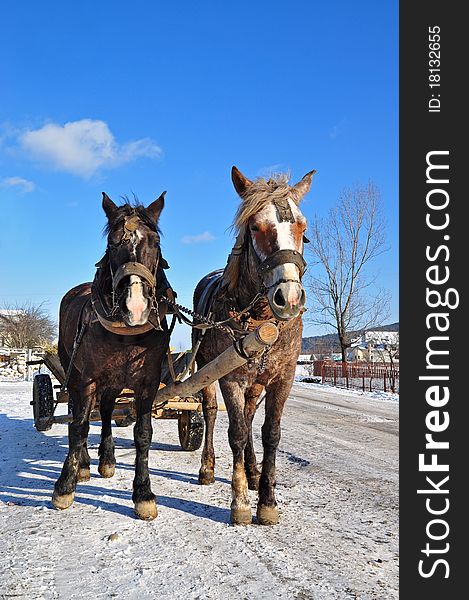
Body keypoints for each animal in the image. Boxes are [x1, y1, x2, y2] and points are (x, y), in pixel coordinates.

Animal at [53, 192, 170, 520]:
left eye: (155, 241)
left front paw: (143, 493)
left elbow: (143, 433)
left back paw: (106, 458)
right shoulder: (88, 379)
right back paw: (82, 464)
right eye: (112, 243)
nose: (136, 306)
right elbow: (79, 426)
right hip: (75, 372)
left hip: (115, 381)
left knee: (105, 411)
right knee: (79, 412)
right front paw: (65, 486)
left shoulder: (147, 382)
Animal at [194, 165, 314, 524]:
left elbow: (269, 433)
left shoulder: (283, 377)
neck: (260, 319)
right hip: (206, 371)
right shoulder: (231, 378)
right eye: (255, 226)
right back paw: (208, 467)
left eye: (302, 227)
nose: (289, 298)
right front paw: (241, 501)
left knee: (248, 417)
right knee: (211, 413)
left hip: (256, 383)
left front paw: (267, 500)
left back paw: (251, 468)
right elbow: (235, 432)